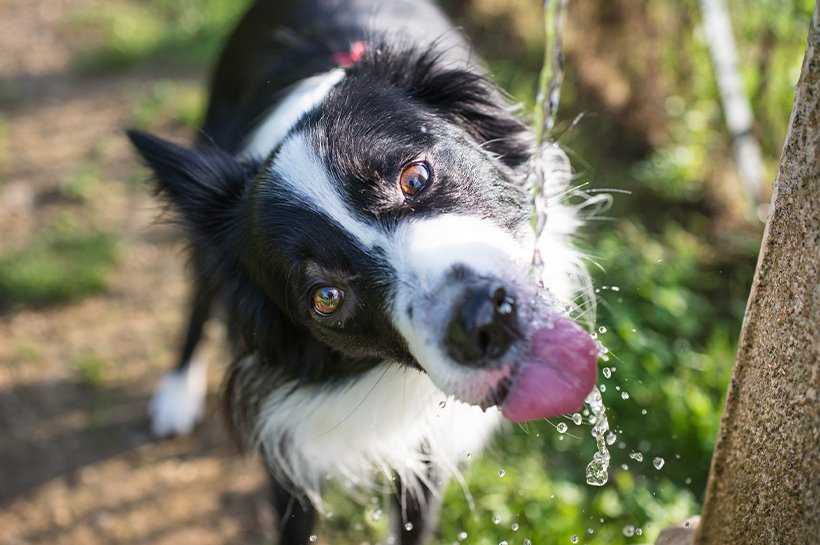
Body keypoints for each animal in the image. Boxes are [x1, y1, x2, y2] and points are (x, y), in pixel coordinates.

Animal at [128, 1, 600, 544]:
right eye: (325, 297)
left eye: (415, 176)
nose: (485, 320)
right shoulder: (288, 447)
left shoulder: (426, 454)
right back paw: (177, 391)